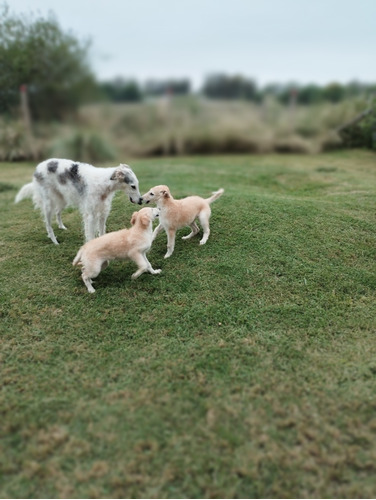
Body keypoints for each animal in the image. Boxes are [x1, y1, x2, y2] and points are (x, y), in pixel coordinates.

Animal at [14, 158, 142, 244]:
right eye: (133, 186)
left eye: (137, 185)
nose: (141, 200)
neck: (103, 183)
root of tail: (38, 167)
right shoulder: (90, 215)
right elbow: (90, 235)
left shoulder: (103, 213)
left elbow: (102, 232)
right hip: (49, 204)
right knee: (48, 224)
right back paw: (54, 241)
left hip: (63, 199)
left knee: (57, 213)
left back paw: (62, 227)